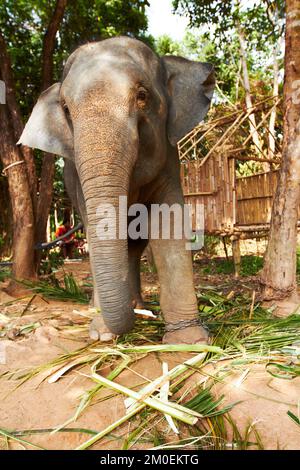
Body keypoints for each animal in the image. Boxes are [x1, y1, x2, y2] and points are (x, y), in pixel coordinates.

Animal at [18, 36, 214, 344]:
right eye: (65, 109)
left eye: (142, 96)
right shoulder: (77, 179)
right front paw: (102, 334)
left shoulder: (169, 159)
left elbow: (168, 225)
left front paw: (189, 341)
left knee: (135, 244)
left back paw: (140, 307)